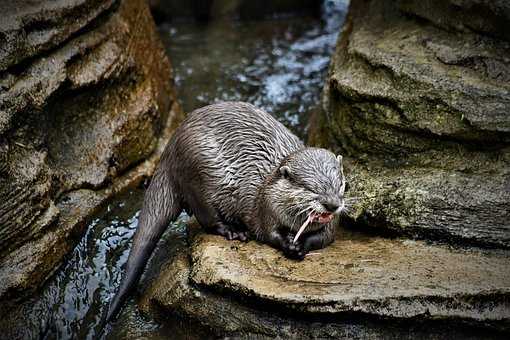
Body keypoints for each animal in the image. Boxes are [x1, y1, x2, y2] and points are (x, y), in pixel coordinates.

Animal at [106, 100, 348, 322]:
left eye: (339, 184)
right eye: (311, 189)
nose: (333, 205)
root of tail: (170, 150)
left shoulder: (331, 225)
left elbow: (324, 238)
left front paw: (300, 246)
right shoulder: (265, 208)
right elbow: (268, 234)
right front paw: (288, 244)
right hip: (197, 176)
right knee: (207, 219)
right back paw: (234, 231)